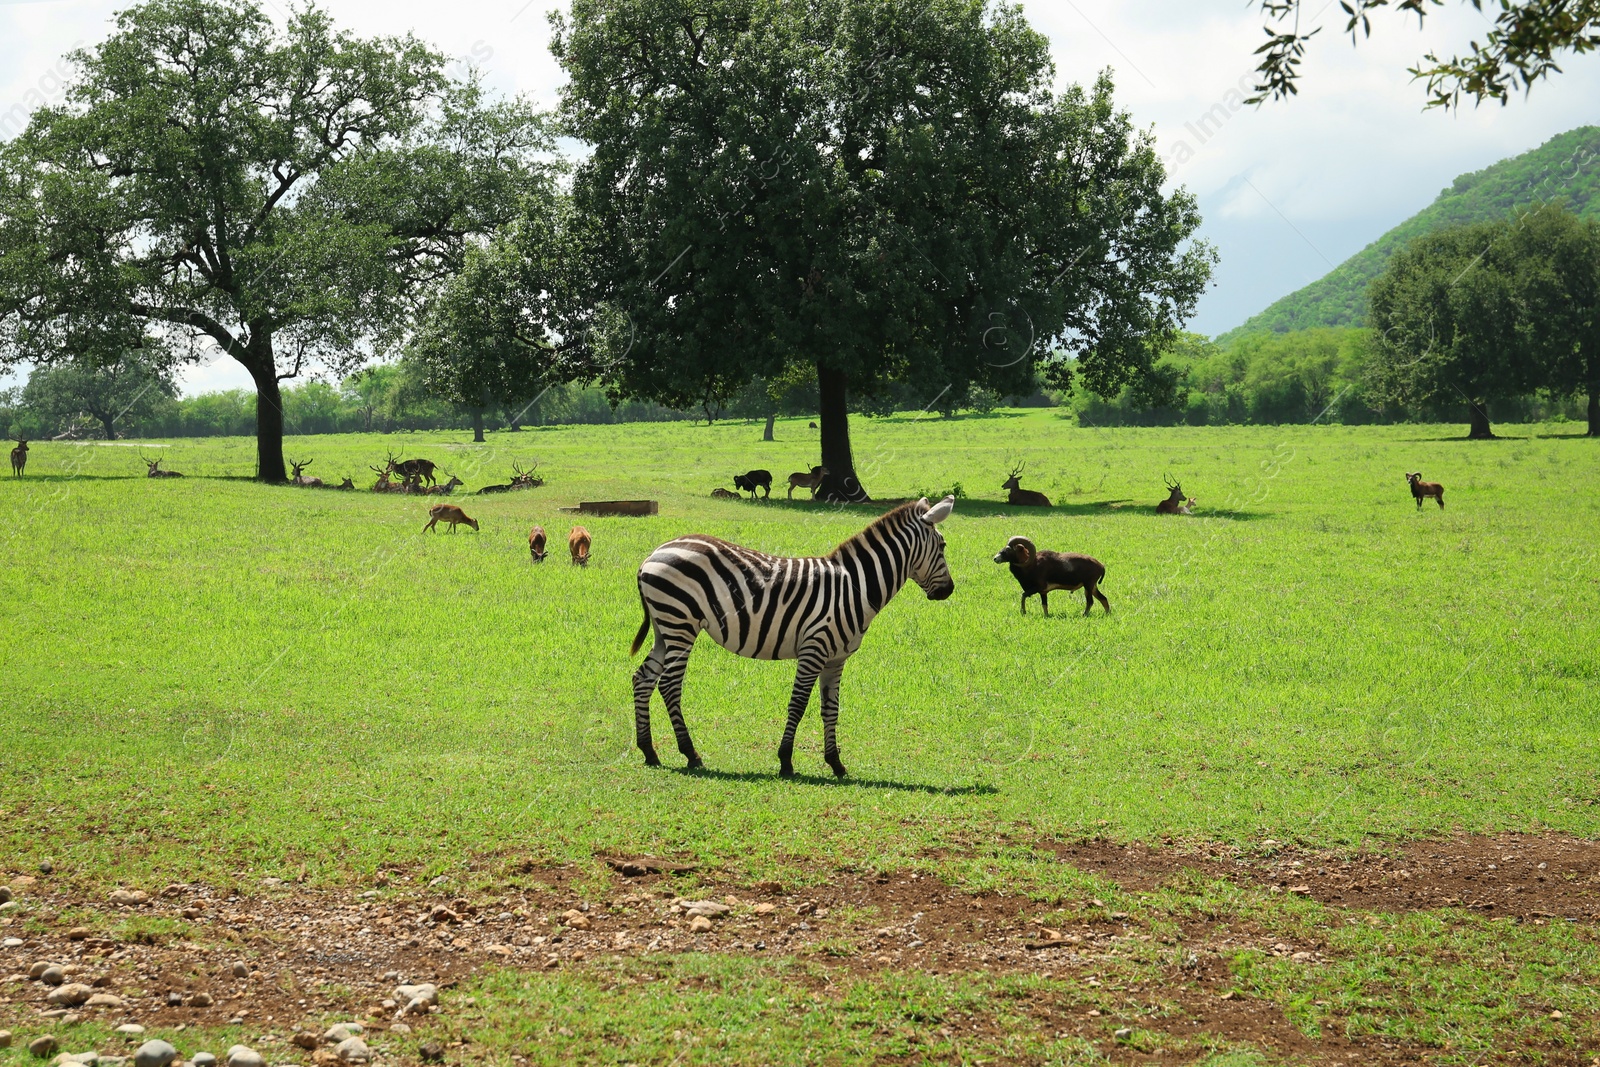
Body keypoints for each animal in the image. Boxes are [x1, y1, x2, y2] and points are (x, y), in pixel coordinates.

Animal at [630, 492, 953, 777]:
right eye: (943, 545)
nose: (948, 591)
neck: (854, 587)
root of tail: (653, 554)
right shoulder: (814, 648)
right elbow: (798, 704)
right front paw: (786, 761)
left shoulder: (836, 658)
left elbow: (831, 709)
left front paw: (835, 763)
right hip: (680, 624)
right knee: (669, 684)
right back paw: (690, 754)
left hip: (665, 628)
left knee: (643, 678)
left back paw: (649, 751)